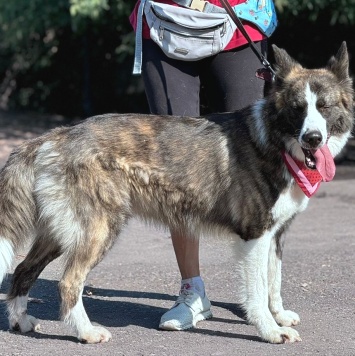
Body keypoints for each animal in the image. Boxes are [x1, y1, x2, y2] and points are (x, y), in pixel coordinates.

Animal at [0, 42, 354, 344]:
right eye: (297, 109)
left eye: (324, 107)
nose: (312, 138)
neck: (273, 141)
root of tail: (56, 136)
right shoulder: (254, 235)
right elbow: (257, 290)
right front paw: (269, 330)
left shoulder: (275, 234)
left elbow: (274, 281)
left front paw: (278, 316)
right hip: (98, 230)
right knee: (69, 282)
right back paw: (86, 333)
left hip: (58, 234)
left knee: (23, 270)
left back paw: (21, 321)